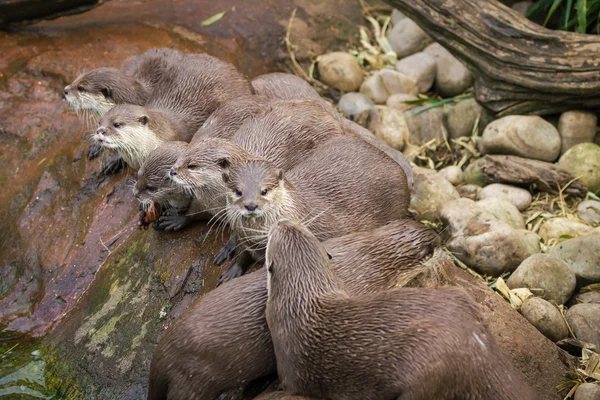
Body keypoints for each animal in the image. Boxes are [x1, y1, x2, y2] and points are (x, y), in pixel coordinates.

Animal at [220, 135, 412, 284]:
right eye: (238, 191)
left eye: (264, 191)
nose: (251, 205)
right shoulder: (243, 239)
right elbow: (241, 255)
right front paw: (231, 272)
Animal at [264, 219, 540, 400]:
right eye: (302, 229)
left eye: (272, 240)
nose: (283, 221)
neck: (302, 301)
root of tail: (481, 347)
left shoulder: (290, 365)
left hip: (429, 373)